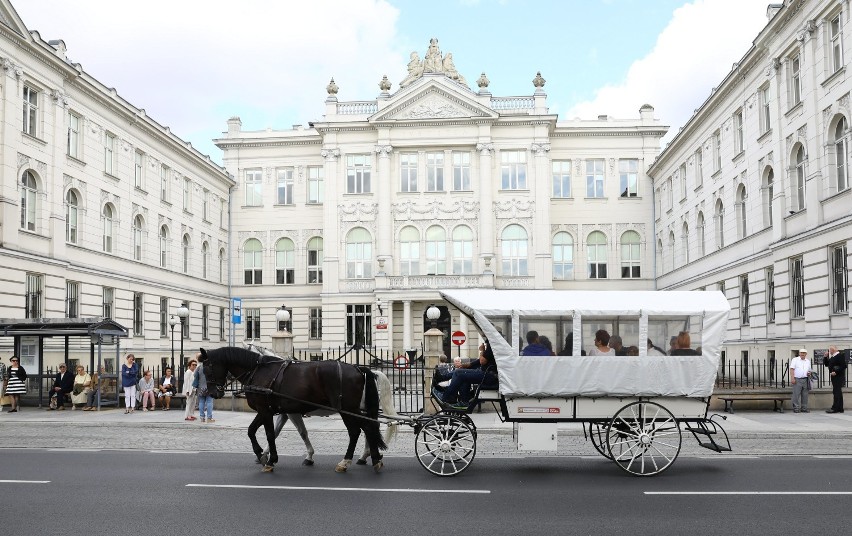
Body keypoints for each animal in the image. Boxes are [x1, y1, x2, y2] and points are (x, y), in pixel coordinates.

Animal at [200, 346, 386, 472]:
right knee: (368, 427)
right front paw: (261, 454)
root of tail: (357, 367)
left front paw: (270, 460)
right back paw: (374, 458)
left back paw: (348, 461)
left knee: (358, 430)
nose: (212, 393)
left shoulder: (267, 411)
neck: (258, 371)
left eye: (207, 368)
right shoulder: (268, 410)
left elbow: (270, 434)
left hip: (348, 409)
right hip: (353, 409)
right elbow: (252, 431)